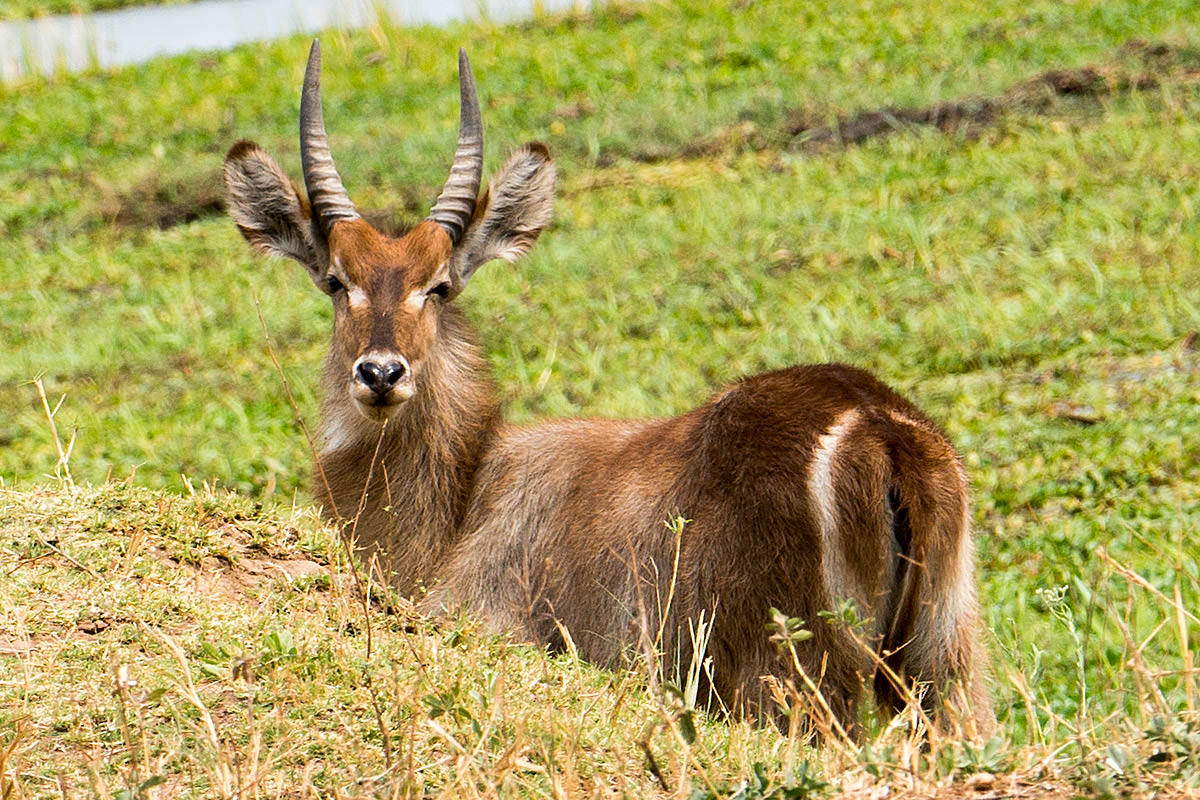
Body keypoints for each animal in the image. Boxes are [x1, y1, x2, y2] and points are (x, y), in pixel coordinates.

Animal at [225, 40, 993, 734]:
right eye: (336, 281)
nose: (381, 373)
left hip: (790, 679)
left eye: (438, 285)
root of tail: (876, 421)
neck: (464, 498)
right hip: (947, 669)